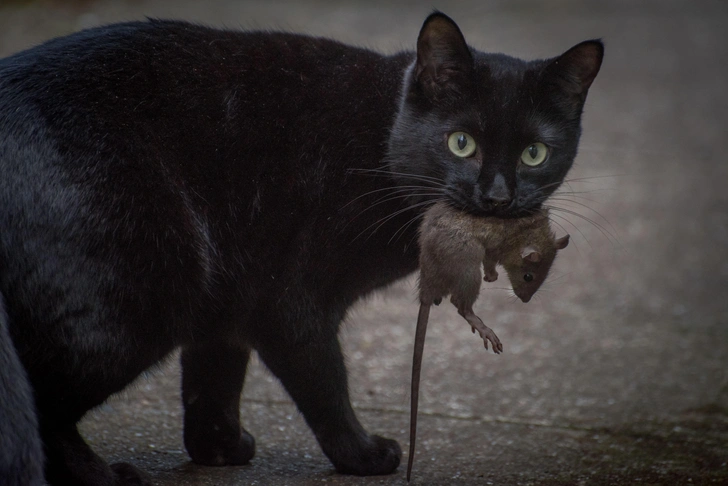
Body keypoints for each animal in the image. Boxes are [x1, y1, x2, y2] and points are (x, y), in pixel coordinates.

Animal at [0, 11, 600, 486]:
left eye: (533, 153)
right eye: (461, 143)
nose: (497, 196)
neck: (377, 140)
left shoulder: (230, 291)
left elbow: (214, 376)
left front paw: (219, 450)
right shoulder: (289, 301)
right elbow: (325, 382)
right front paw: (363, 456)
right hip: (139, 301)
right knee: (44, 405)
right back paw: (102, 476)